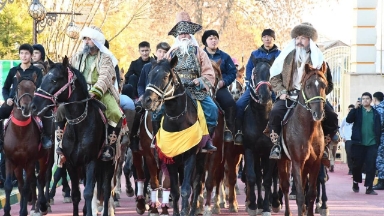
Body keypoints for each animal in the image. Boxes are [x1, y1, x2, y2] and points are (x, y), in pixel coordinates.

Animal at [2, 71, 50, 215]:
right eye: (18, 87)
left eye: (34, 88)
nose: (27, 108)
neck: (20, 132)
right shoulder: (9, 159)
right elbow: (8, 185)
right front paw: (7, 211)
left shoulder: (30, 161)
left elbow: (27, 186)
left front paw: (23, 211)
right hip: (19, 165)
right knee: (22, 183)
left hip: (44, 158)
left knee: (41, 179)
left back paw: (42, 205)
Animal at [30, 56, 115, 215]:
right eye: (43, 78)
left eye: (54, 80)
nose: (33, 106)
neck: (79, 125)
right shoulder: (71, 162)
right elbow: (76, 194)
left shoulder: (91, 160)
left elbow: (88, 192)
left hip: (109, 162)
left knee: (106, 190)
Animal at [141, 57, 207, 216]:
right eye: (149, 74)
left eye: (165, 76)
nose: (146, 100)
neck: (177, 119)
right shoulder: (169, 158)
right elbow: (175, 190)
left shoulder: (190, 156)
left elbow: (186, 189)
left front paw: (185, 211)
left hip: (202, 157)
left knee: (196, 184)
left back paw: (193, 209)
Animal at [278, 62, 328, 216]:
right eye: (308, 85)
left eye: (324, 85)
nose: (318, 113)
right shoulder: (297, 162)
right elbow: (300, 195)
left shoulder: (315, 163)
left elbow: (311, 194)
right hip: (283, 160)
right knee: (285, 186)